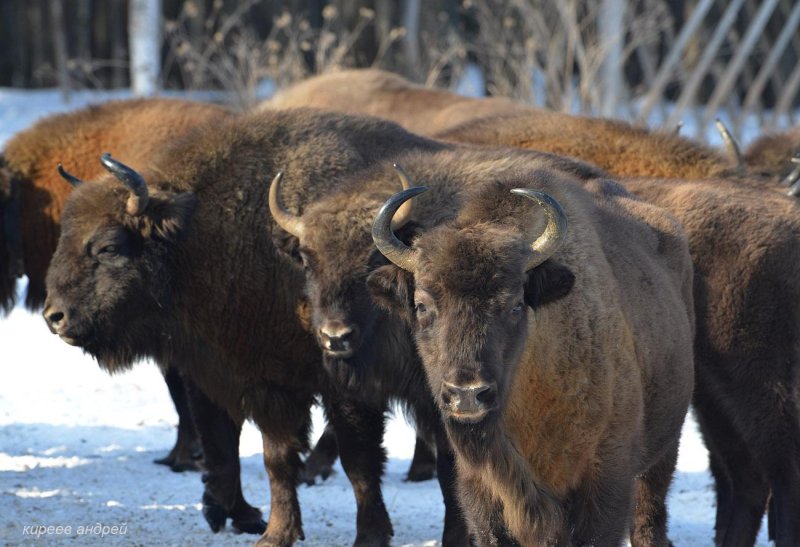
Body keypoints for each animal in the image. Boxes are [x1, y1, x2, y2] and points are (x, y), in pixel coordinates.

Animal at [42, 108, 456, 547]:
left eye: (108, 246)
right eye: (64, 233)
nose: (55, 316)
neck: (202, 236)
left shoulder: (338, 389)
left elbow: (357, 462)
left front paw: (369, 534)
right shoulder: (234, 376)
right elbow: (249, 452)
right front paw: (256, 523)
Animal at [368, 173, 692, 544]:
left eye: (515, 304)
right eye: (422, 306)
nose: (467, 394)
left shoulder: (607, 479)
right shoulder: (481, 490)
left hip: (663, 453)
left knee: (648, 519)